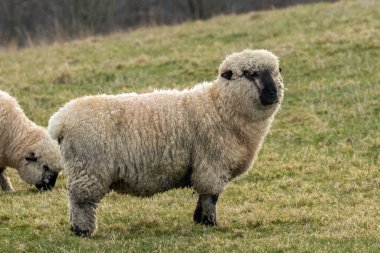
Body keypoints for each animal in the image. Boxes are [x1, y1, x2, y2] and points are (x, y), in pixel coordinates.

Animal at [48, 49, 284, 235]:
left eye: (275, 72)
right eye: (249, 74)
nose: (273, 94)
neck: (218, 107)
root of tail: (60, 120)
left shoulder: (203, 167)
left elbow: (202, 196)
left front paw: (199, 219)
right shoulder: (212, 164)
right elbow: (210, 197)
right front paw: (210, 223)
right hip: (88, 169)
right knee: (80, 202)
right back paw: (82, 231)